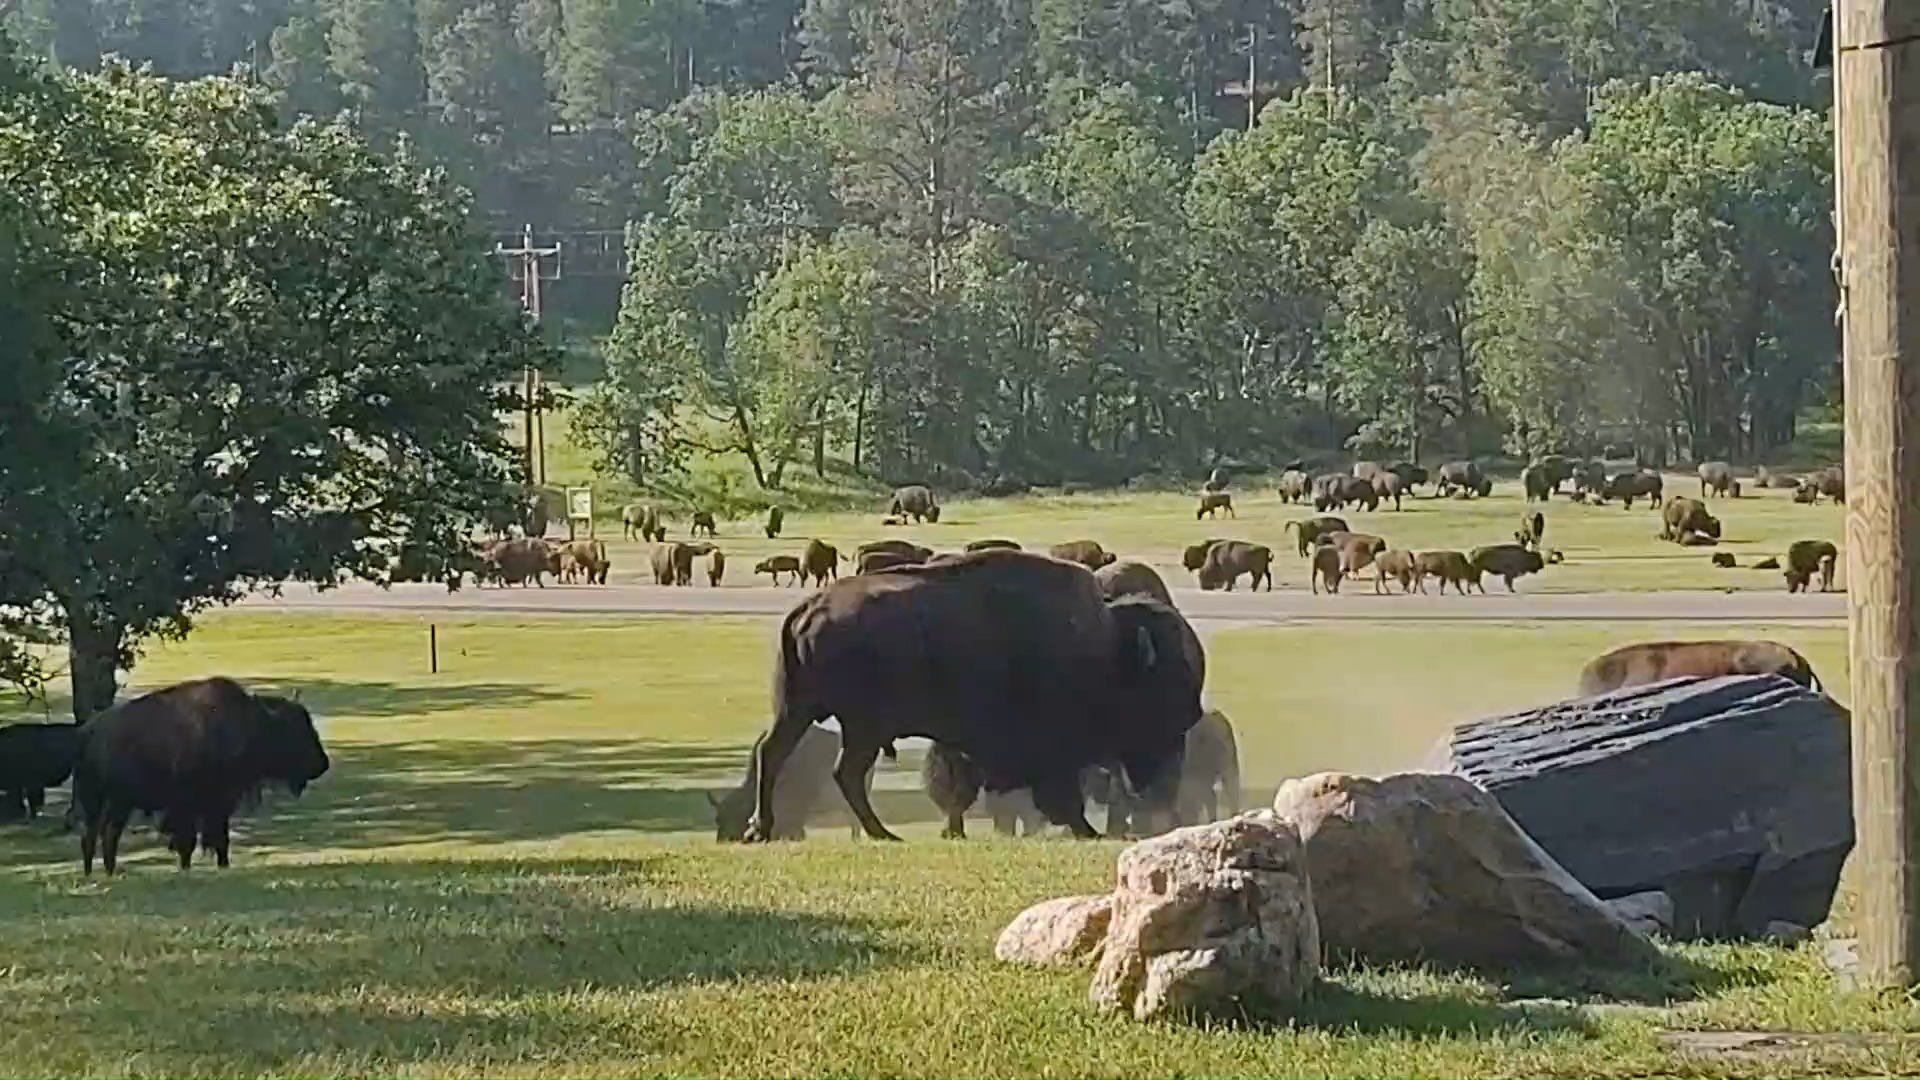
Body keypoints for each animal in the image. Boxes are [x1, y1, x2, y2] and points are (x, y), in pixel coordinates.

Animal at [739, 551, 1206, 841]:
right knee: (839, 770)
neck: (1109, 649)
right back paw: (880, 833)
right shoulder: (1049, 749)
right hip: (858, 724)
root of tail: (807, 609)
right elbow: (1060, 792)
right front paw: (1083, 829)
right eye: (1163, 692)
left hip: (801, 711)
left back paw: (764, 830)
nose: (1189, 722)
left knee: (779, 755)